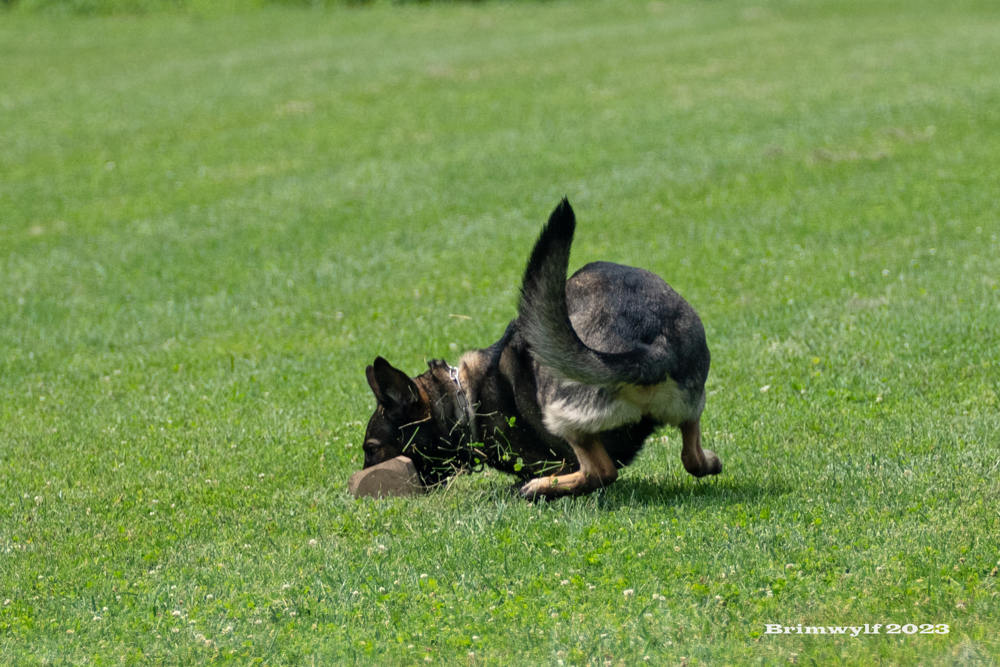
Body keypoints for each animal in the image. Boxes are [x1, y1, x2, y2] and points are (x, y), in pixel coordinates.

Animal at [361, 198, 721, 499]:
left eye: (371, 449)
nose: (358, 488)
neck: (463, 401)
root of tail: (653, 348)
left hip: (556, 398)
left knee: (600, 472)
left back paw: (538, 489)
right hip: (689, 400)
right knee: (691, 454)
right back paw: (710, 461)